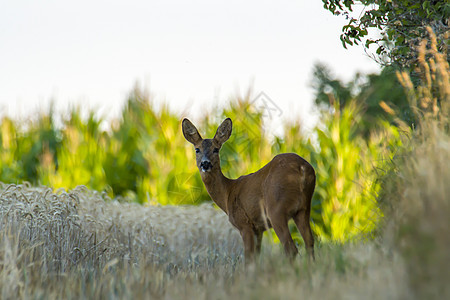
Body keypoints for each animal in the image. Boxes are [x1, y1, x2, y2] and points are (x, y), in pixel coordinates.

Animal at [181, 118, 314, 262]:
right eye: (197, 149)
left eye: (216, 149)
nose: (205, 163)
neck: (227, 193)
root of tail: (302, 168)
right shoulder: (259, 229)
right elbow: (256, 257)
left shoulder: (244, 223)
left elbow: (248, 258)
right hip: (304, 208)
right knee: (310, 243)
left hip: (276, 209)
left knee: (291, 249)